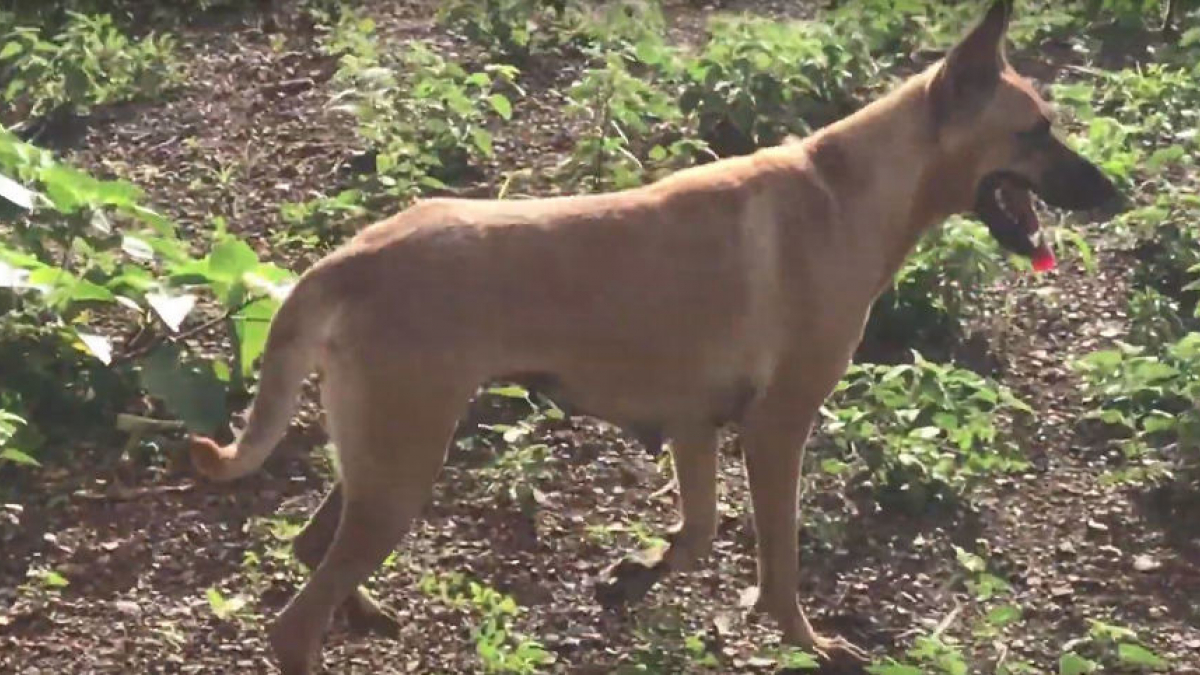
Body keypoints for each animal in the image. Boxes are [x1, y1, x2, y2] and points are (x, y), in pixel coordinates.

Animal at [184, 2, 1113, 667]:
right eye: (1036, 131)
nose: (1117, 193)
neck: (848, 189)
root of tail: (352, 256)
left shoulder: (695, 426)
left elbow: (697, 533)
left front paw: (633, 576)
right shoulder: (776, 431)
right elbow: (778, 564)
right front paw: (810, 644)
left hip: (385, 457)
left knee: (312, 545)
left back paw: (367, 610)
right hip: (404, 465)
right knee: (293, 624)